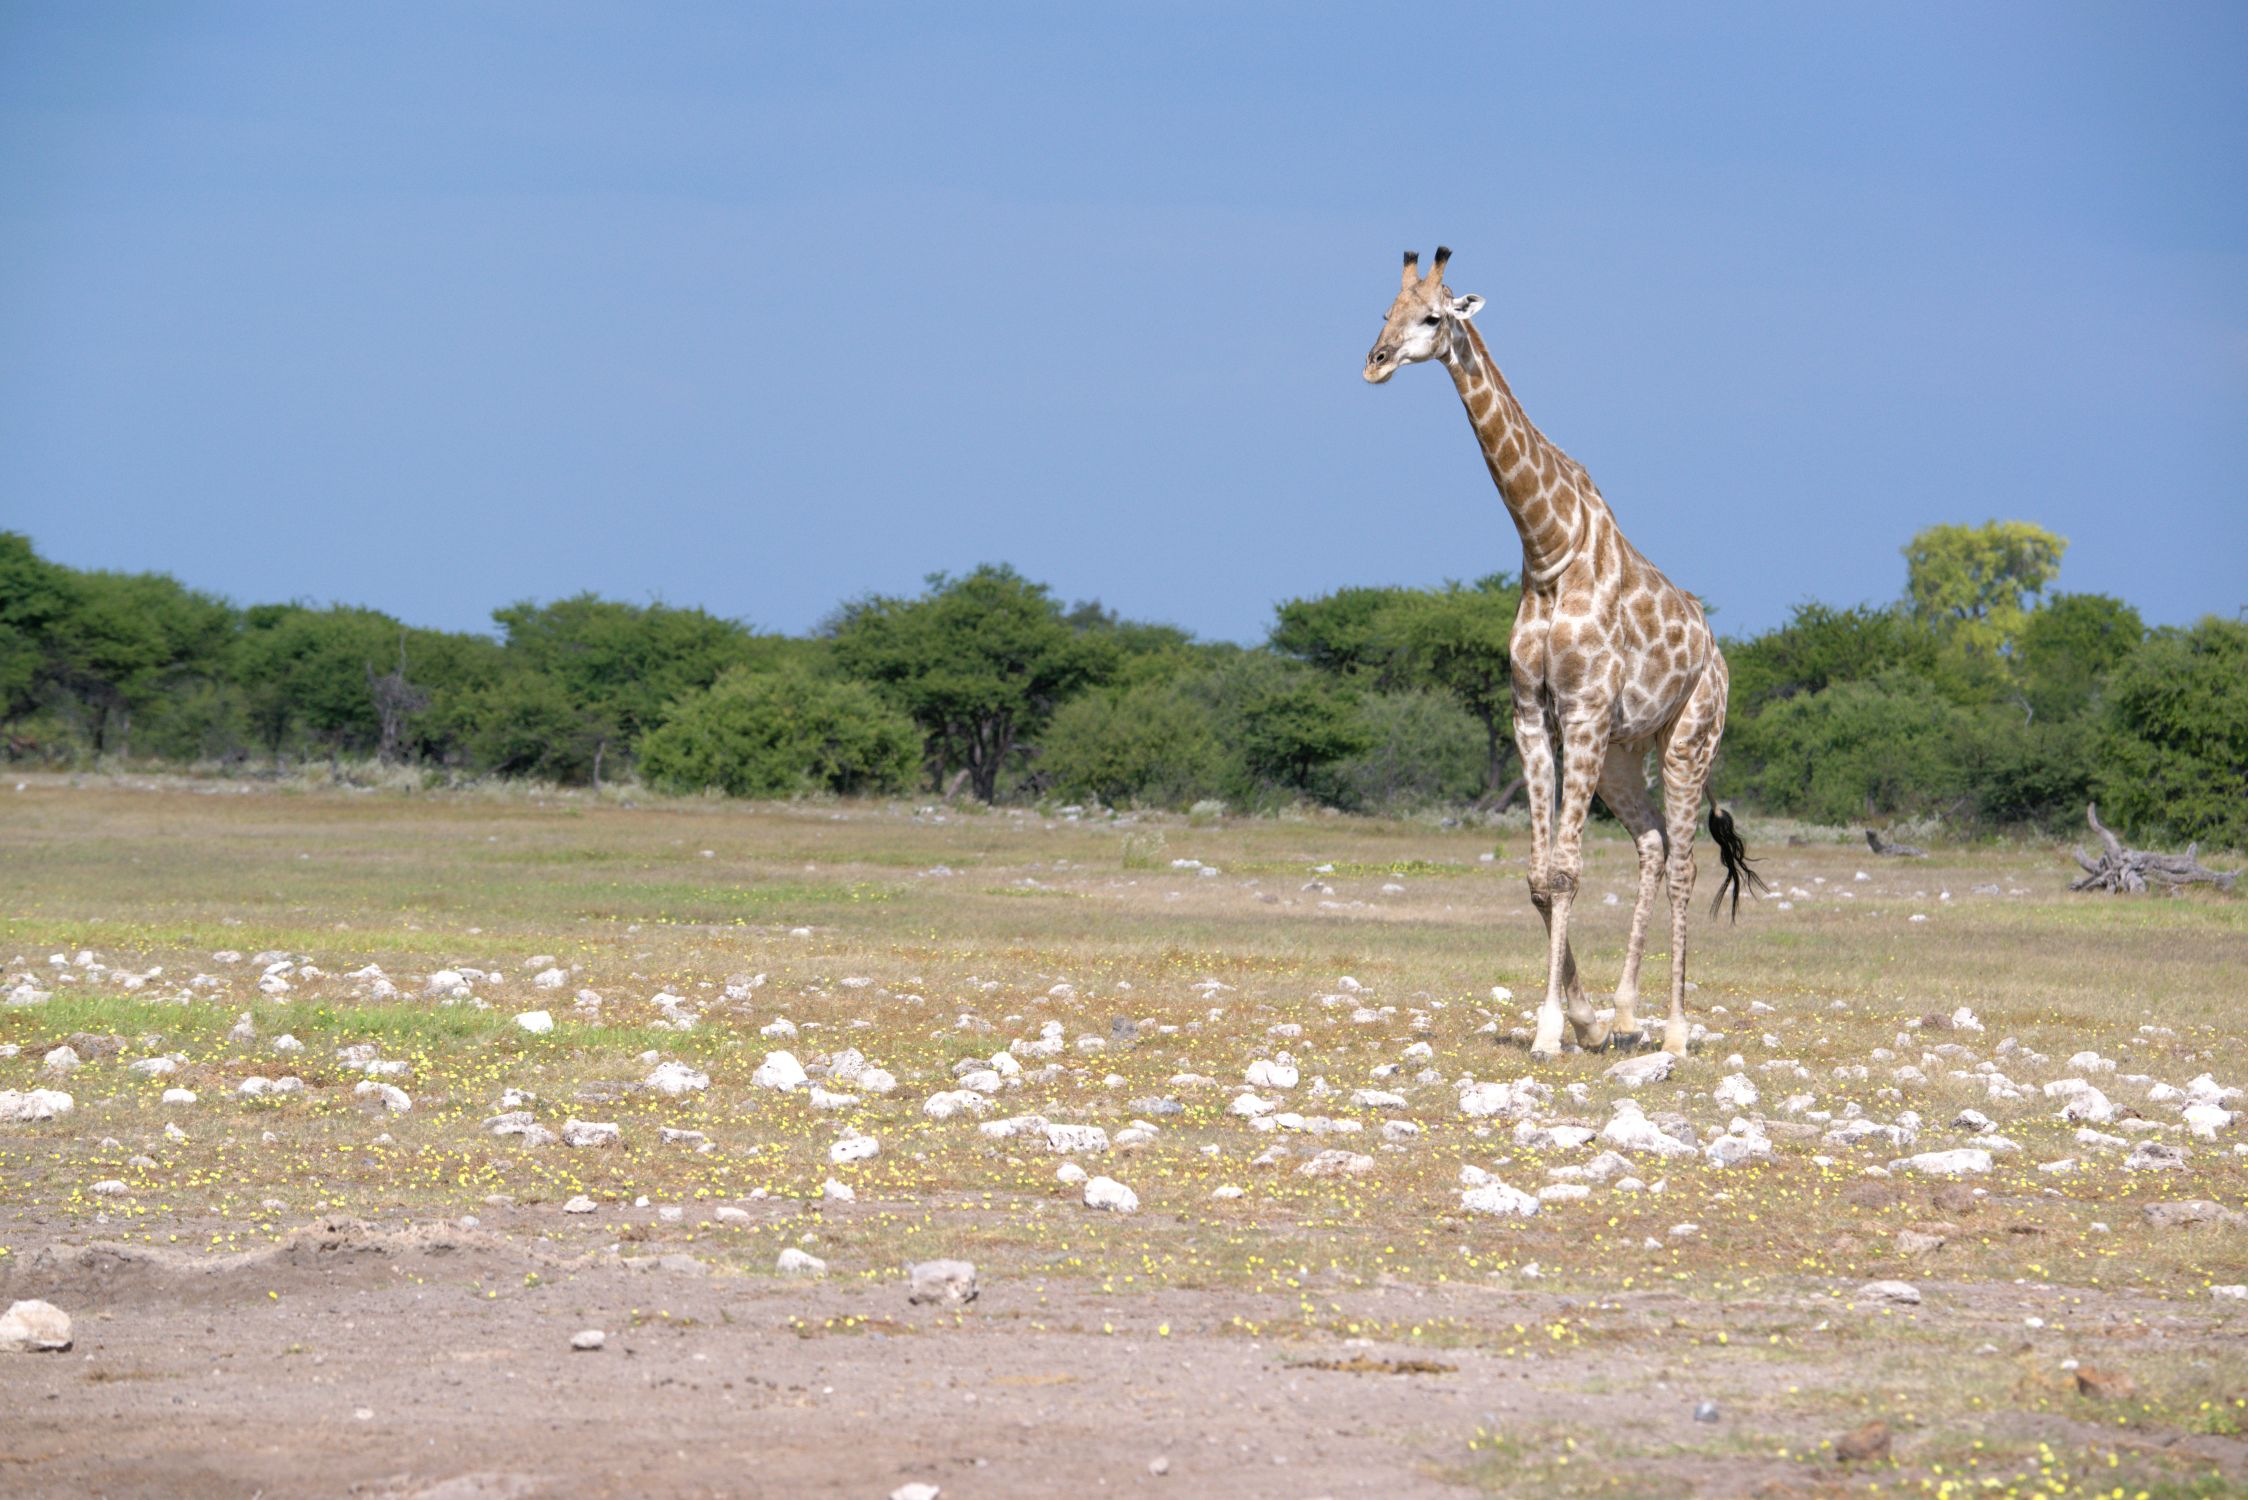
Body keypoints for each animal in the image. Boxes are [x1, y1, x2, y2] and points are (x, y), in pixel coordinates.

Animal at [1363, 247, 1762, 1059]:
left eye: (1433, 317)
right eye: (1383, 311)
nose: (1375, 362)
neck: (1548, 548)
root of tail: (1716, 653)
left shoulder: (1578, 711)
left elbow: (1570, 872)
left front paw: (1550, 1029)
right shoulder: (1531, 714)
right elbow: (1538, 875)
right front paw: (1579, 1016)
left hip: (1688, 740)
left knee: (1684, 863)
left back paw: (1675, 1030)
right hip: (1621, 753)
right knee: (1651, 844)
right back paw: (1626, 1015)